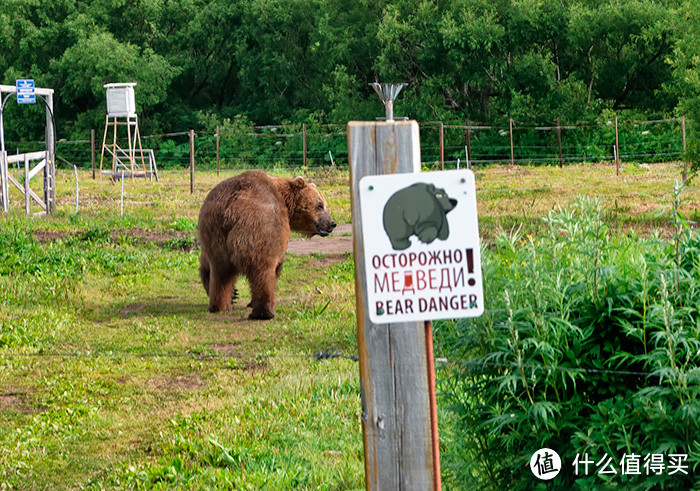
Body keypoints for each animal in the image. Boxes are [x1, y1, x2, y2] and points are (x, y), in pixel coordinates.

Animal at [198, 171, 338, 320]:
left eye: (324, 205)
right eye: (319, 205)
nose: (332, 223)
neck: (287, 203)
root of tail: (231, 208)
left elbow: (205, 266)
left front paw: (233, 294)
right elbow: (277, 265)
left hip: (213, 228)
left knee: (219, 271)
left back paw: (220, 306)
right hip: (259, 225)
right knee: (262, 269)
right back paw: (264, 312)